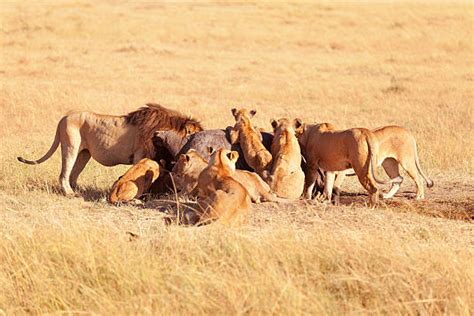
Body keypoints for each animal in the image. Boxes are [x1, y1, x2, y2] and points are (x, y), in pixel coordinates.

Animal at [16, 103, 202, 196]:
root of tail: (64, 117)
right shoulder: (140, 156)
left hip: (84, 154)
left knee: (74, 175)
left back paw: (79, 191)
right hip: (70, 146)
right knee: (64, 174)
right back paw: (69, 193)